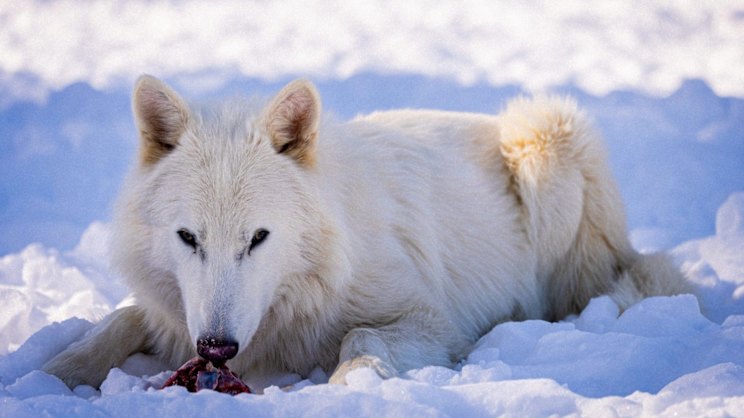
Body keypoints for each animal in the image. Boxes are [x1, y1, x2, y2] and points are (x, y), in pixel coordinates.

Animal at [43, 75, 692, 390]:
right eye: (188, 238)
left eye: (258, 238)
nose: (217, 350)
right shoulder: (177, 316)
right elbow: (118, 322)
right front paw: (51, 375)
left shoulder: (429, 319)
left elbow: (360, 338)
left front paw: (351, 386)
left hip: (543, 136)